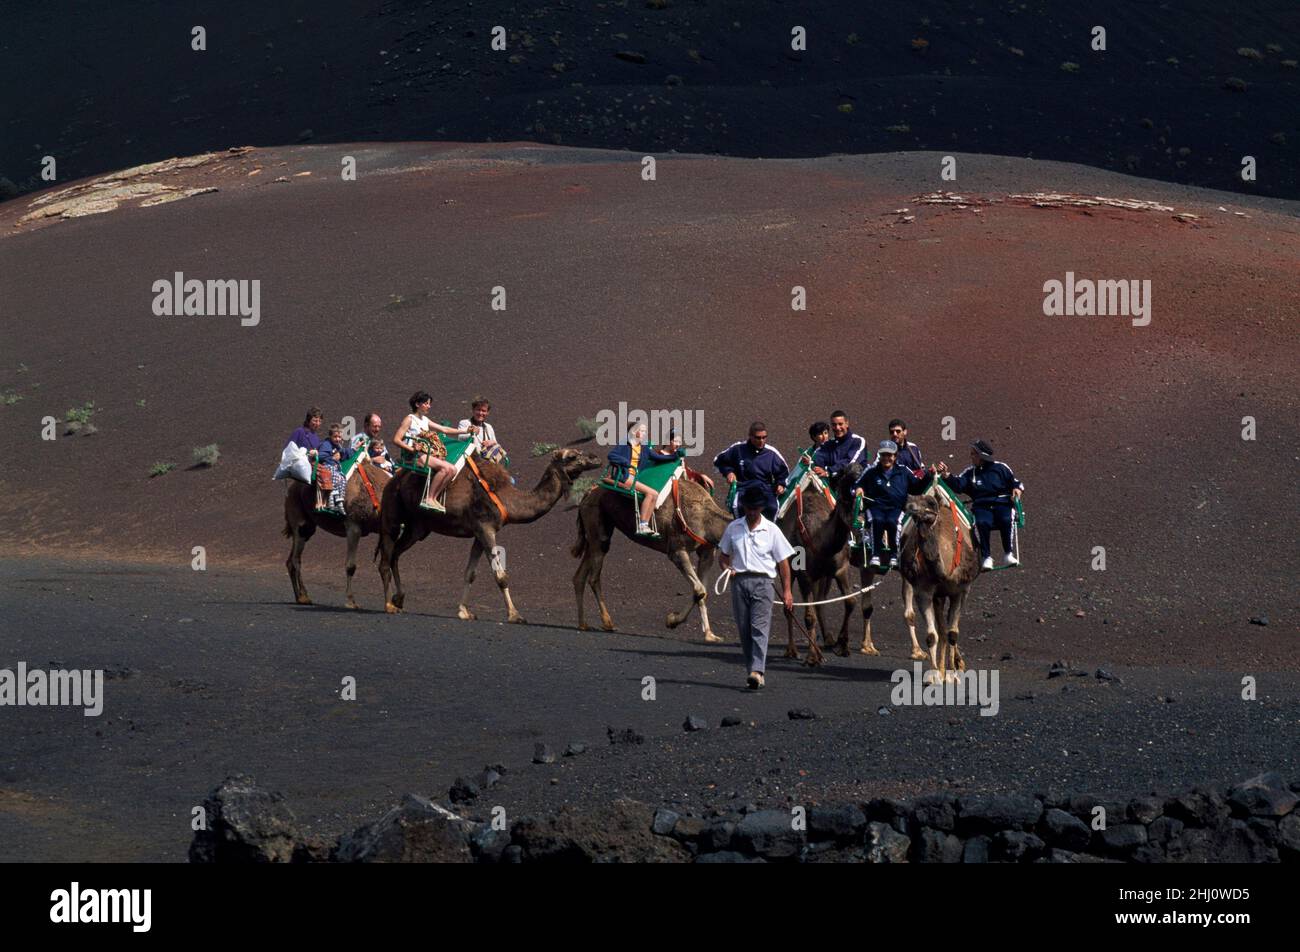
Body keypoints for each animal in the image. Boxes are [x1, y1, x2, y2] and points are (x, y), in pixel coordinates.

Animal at [280, 457, 390, 606]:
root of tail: (290, 489)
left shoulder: (383, 531)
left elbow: (385, 566)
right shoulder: (353, 525)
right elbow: (351, 565)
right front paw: (351, 601)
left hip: (308, 527)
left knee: (290, 561)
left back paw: (299, 597)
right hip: (299, 521)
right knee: (296, 559)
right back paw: (304, 597)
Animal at [377, 447, 598, 621]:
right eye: (572, 456)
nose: (595, 458)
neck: (506, 498)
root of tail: (394, 479)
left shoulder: (479, 533)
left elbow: (470, 573)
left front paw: (464, 611)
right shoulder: (485, 528)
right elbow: (501, 576)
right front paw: (515, 615)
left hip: (418, 528)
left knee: (395, 554)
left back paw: (399, 599)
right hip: (391, 515)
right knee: (385, 559)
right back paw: (388, 605)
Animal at [569, 468, 733, 639]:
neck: (707, 519)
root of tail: (587, 493)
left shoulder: (707, 553)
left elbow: (702, 591)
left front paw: (709, 634)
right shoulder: (676, 550)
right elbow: (699, 589)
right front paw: (672, 620)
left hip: (598, 531)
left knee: (579, 576)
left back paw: (583, 624)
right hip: (597, 526)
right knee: (593, 577)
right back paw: (608, 623)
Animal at [899, 486, 977, 681]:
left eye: (929, 504)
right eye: (910, 499)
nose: (909, 503)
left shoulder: (961, 591)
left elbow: (953, 633)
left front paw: (953, 673)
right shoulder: (924, 591)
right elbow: (931, 635)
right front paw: (935, 674)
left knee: (947, 630)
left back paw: (954, 666)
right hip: (936, 596)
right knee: (940, 630)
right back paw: (942, 669)